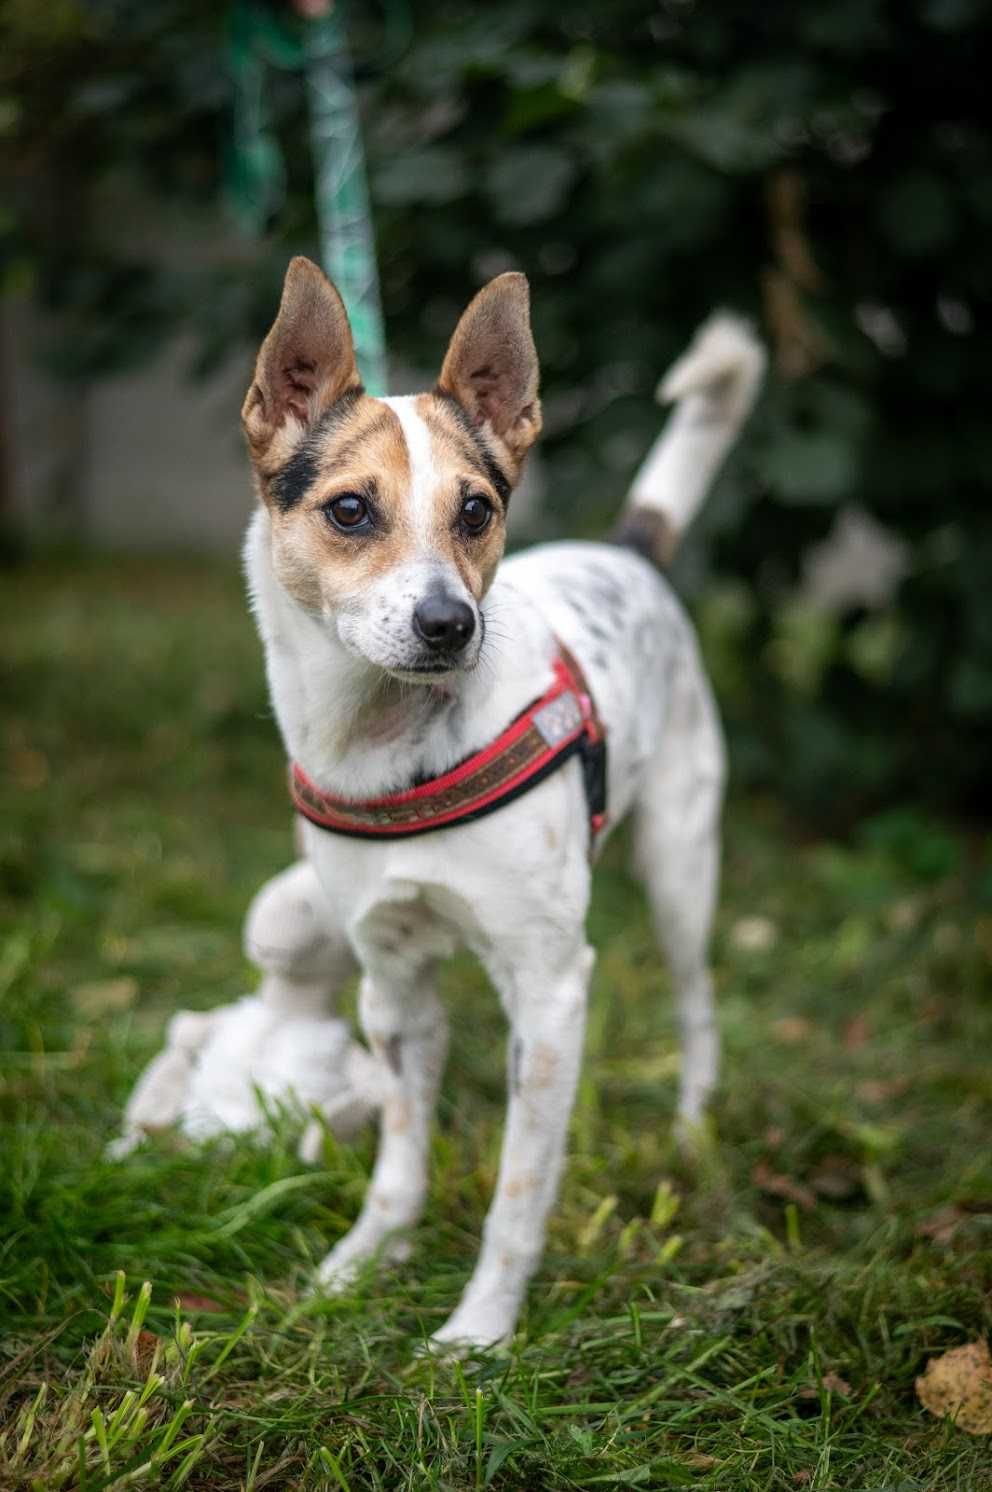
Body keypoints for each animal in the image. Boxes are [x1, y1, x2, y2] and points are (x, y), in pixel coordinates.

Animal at [120, 262, 760, 1360]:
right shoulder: (391, 981)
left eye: (476, 510)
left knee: (698, 1007)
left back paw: (690, 1132)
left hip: (682, 866)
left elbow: (519, 1192)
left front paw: (480, 1332)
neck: (391, 745)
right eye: (347, 510)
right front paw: (359, 1266)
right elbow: (399, 1157)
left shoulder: (549, 994)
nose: (449, 624)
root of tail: (628, 550)